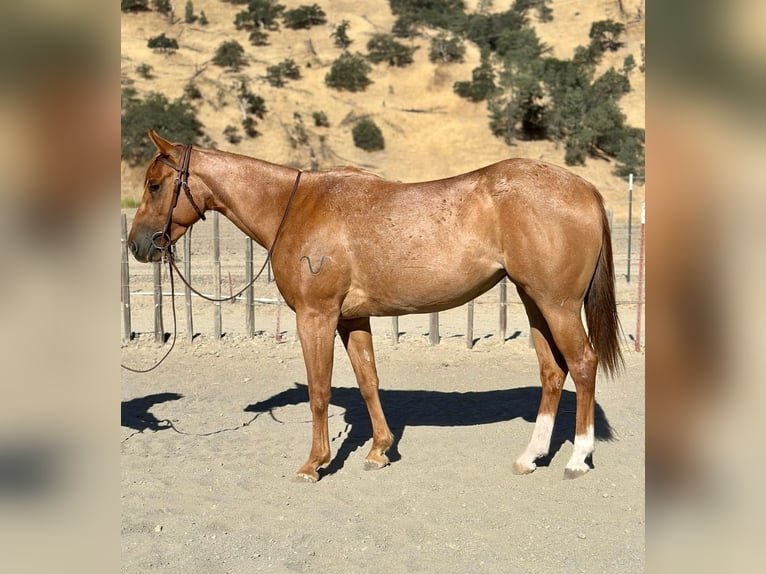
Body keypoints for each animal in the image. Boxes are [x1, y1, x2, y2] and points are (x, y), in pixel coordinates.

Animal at [130, 129, 624, 482]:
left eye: (154, 185)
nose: (138, 245)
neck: (296, 207)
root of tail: (585, 189)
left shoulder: (316, 317)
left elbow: (320, 391)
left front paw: (315, 464)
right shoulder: (352, 319)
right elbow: (368, 381)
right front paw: (379, 451)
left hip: (558, 305)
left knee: (583, 364)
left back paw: (577, 458)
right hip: (534, 301)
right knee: (552, 371)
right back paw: (530, 456)